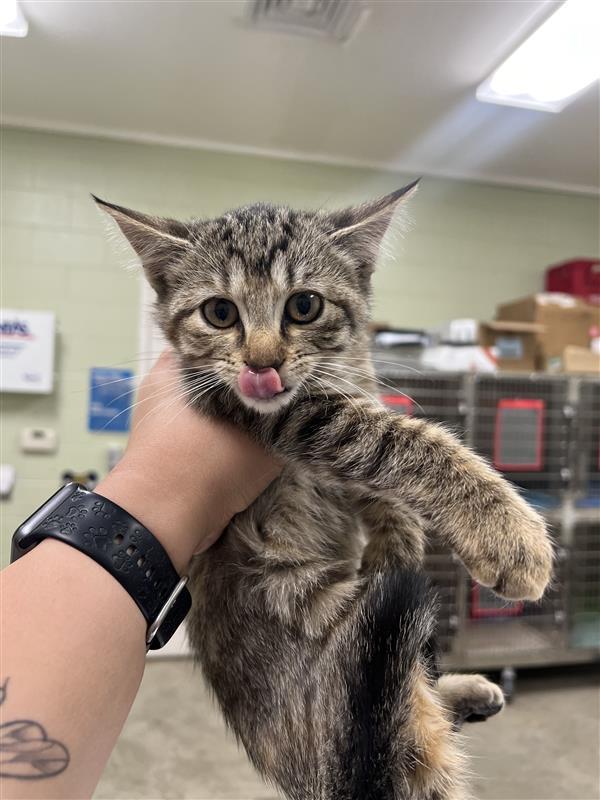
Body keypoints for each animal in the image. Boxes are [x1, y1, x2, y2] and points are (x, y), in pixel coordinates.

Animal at [97, 183, 552, 800]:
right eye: (220, 312)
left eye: (304, 306)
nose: (262, 363)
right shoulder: (283, 416)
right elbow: (396, 438)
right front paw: (508, 532)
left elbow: (379, 487)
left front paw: (398, 537)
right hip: (329, 629)